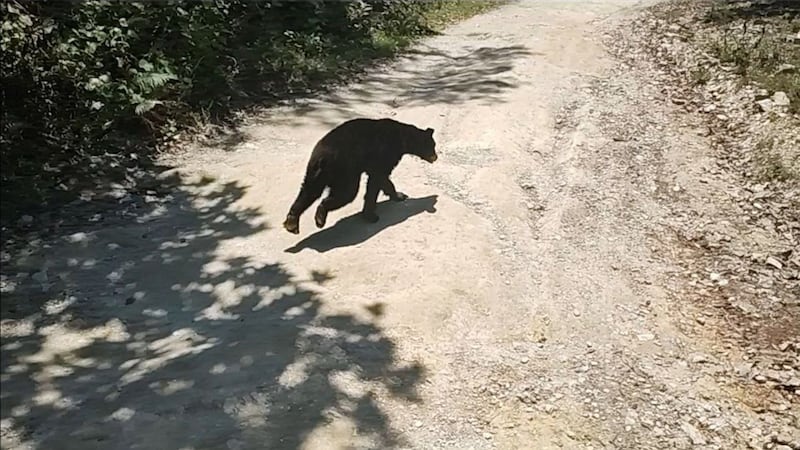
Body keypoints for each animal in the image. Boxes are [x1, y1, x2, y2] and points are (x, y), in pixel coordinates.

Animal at [283, 118, 437, 234]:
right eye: (432, 146)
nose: (436, 157)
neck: (402, 140)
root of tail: (323, 158)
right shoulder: (384, 154)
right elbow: (378, 179)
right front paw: (371, 214)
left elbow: (383, 180)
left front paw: (399, 195)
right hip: (345, 171)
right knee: (346, 193)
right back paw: (320, 216)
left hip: (315, 172)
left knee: (309, 191)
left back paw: (292, 221)